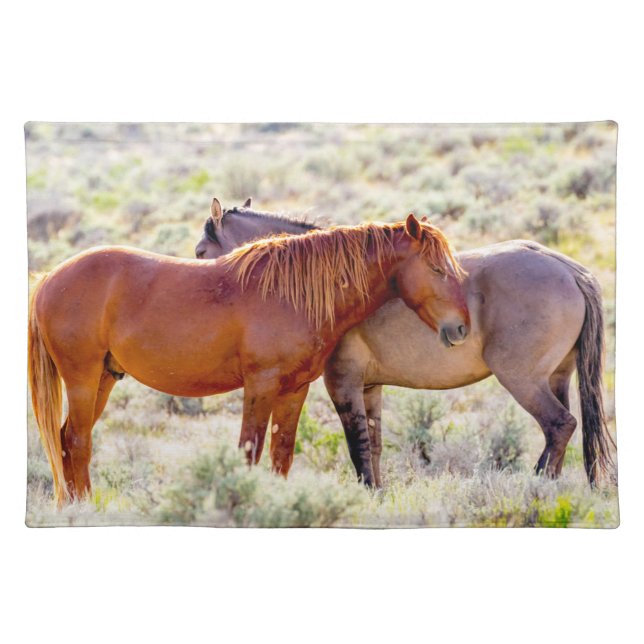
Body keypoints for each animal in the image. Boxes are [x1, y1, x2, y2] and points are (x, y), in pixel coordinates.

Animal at [28, 208, 469, 505]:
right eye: (436, 269)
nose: (461, 328)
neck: (293, 293)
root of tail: (50, 278)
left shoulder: (294, 390)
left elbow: (281, 454)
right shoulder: (261, 385)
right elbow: (249, 451)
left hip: (103, 379)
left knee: (67, 441)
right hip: (82, 379)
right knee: (77, 441)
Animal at [196, 199, 615, 487]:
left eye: (201, 252)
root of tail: (569, 270)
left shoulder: (343, 383)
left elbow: (358, 448)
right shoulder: (369, 387)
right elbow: (375, 447)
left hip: (523, 380)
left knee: (559, 426)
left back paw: (535, 485)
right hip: (557, 379)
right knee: (561, 432)